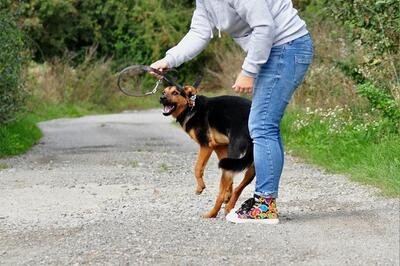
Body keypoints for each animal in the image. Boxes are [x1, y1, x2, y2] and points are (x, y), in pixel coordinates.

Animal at [159, 85, 255, 218]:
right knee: (238, 189)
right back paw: (229, 207)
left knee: (220, 195)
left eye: (175, 92)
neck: (191, 107)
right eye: (164, 92)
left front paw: (200, 187)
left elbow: (197, 168)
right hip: (250, 166)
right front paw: (228, 195)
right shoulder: (220, 148)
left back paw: (211, 213)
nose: (161, 98)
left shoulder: (206, 146)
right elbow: (230, 184)